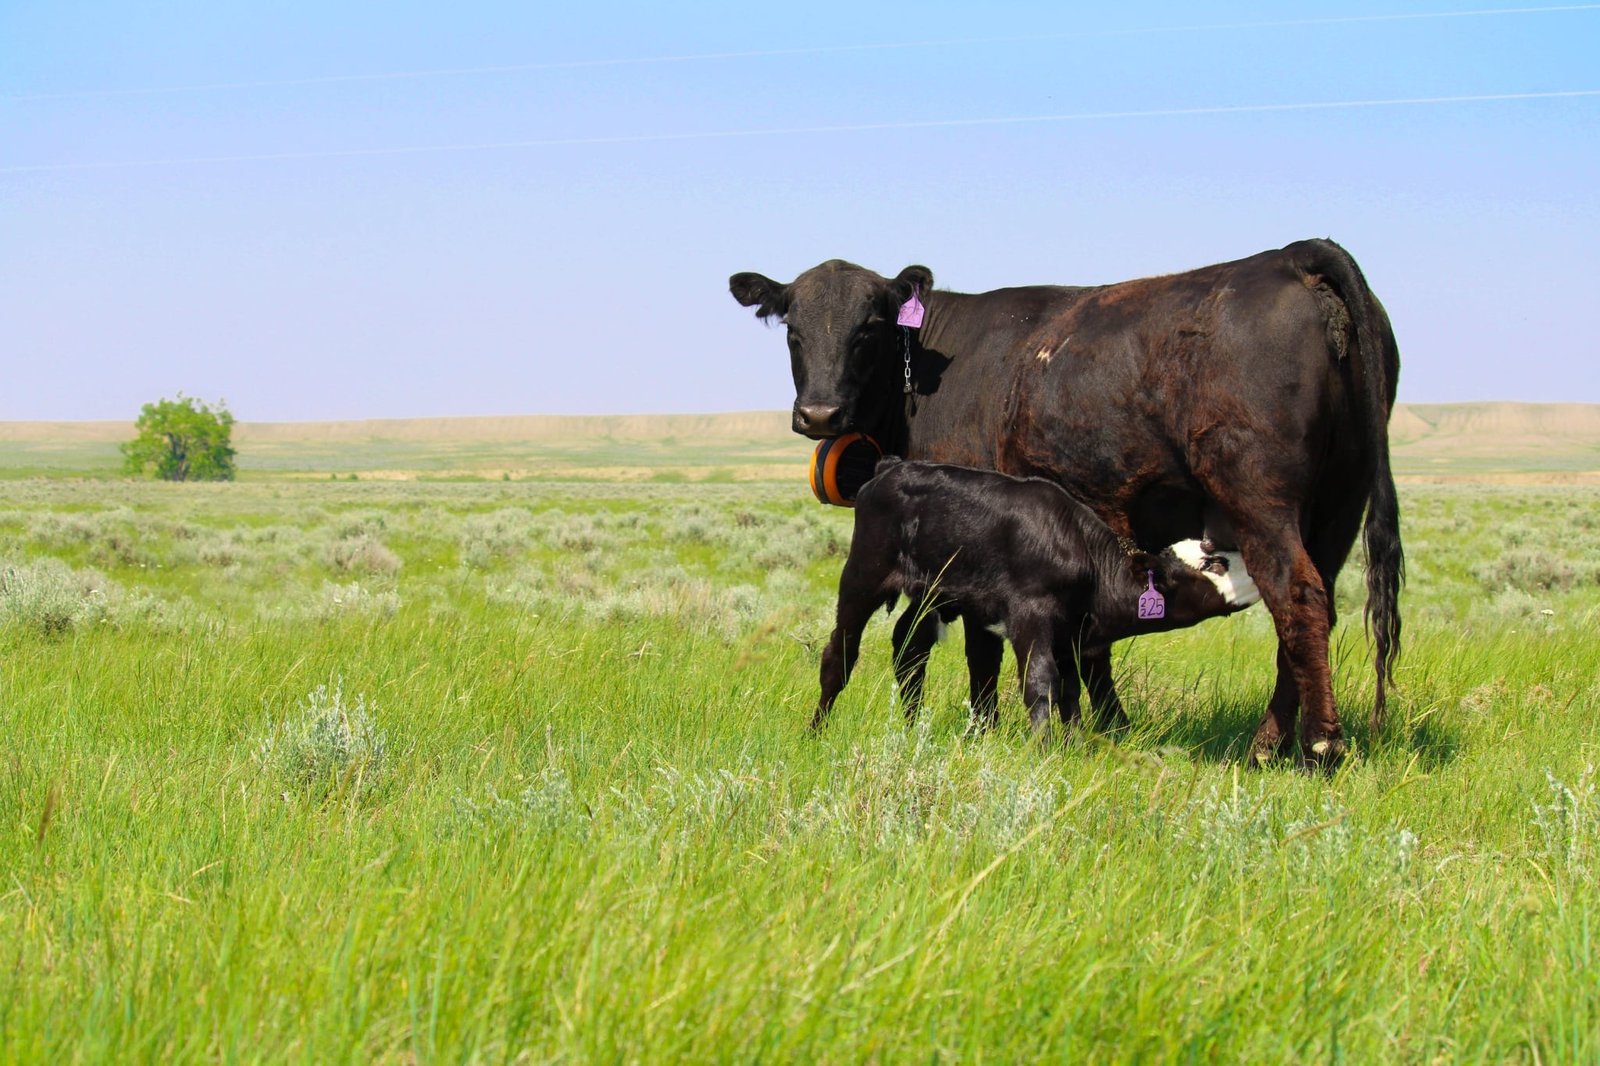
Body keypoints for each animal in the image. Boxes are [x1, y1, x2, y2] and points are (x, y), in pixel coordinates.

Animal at [814, 458, 1261, 734]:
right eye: (1214, 564)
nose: (1257, 572)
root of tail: (892, 465)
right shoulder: (1031, 615)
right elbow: (1040, 682)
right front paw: (1042, 748)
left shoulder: (1070, 634)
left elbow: (1070, 689)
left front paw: (1073, 743)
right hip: (863, 574)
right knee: (840, 653)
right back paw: (817, 729)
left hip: (929, 593)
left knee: (908, 648)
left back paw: (910, 726)